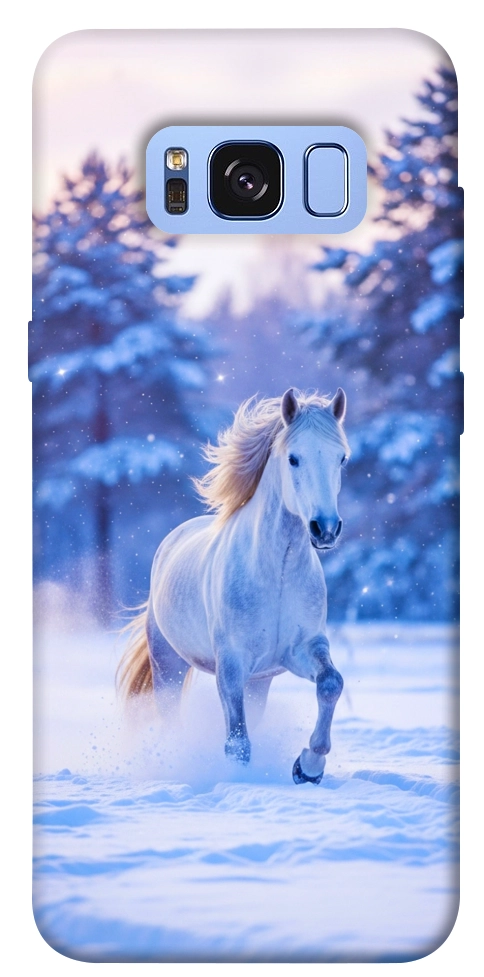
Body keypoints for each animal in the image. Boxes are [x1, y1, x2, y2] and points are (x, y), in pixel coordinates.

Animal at [118, 387, 350, 784]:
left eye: (341, 459)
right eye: (294, 458)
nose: (325, 529)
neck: (277, 573)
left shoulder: (301, 649)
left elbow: (331, 683)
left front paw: (308, 767)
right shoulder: (231, 664)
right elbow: (237, 742)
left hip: (259, 681)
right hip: (168, 665)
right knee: (170, 717)